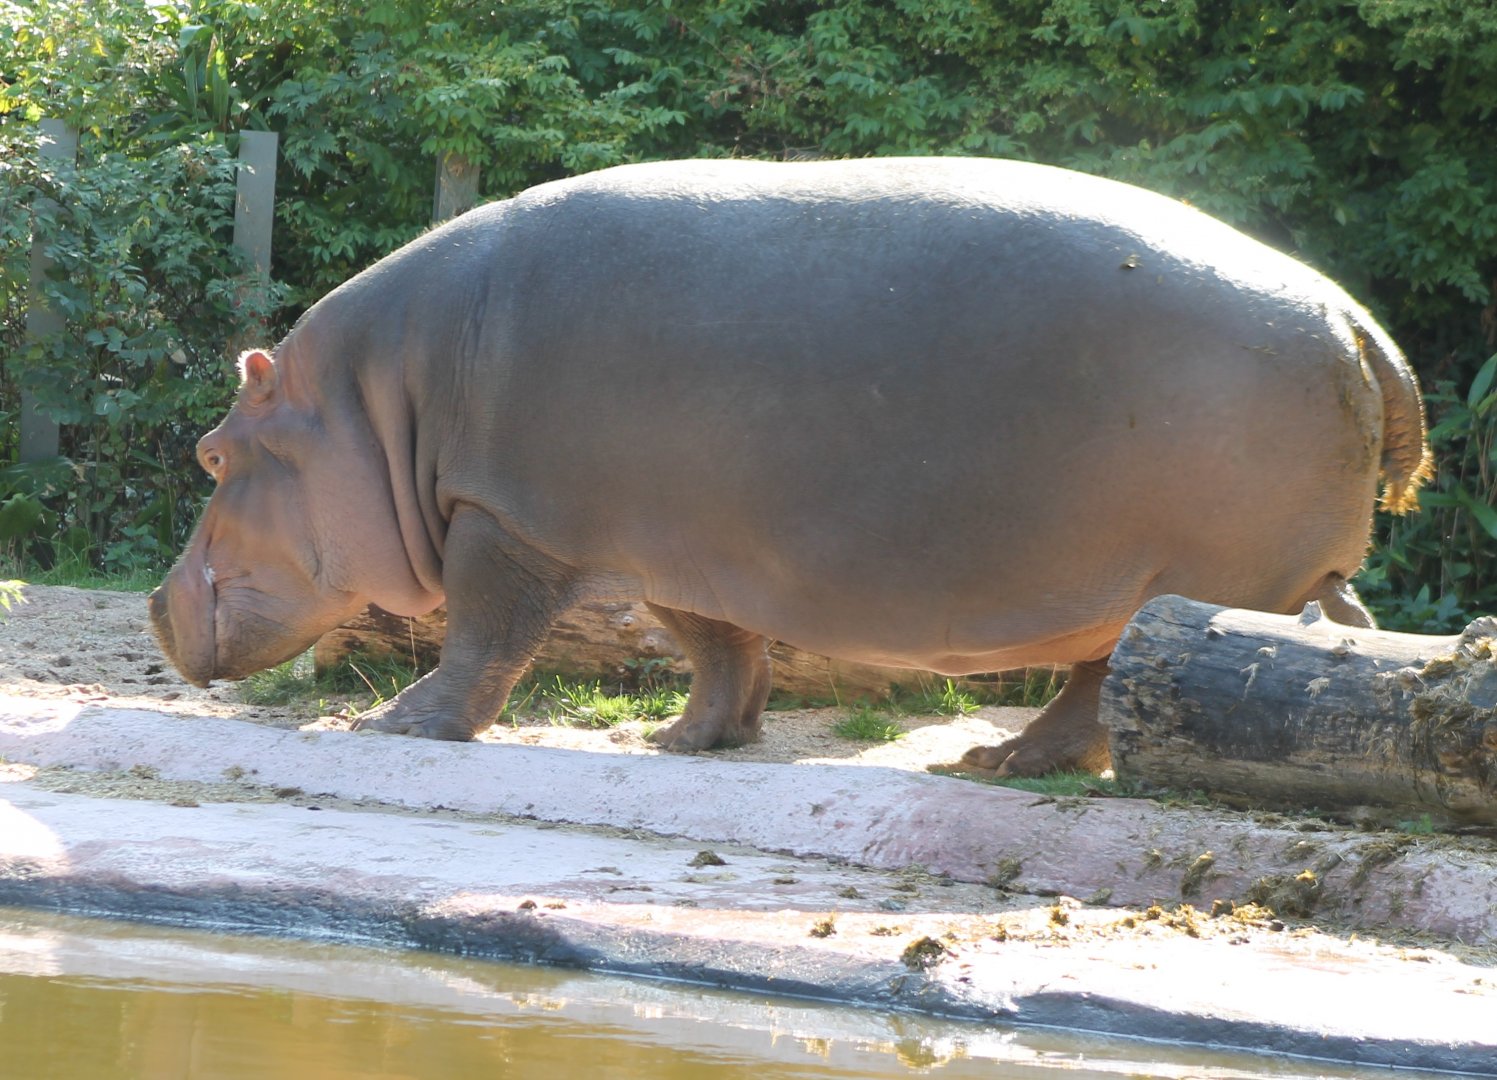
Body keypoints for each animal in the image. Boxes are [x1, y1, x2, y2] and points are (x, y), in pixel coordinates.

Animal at [149, 156, 1432, 776]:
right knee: (1321, 638)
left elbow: (482, 637)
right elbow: (720, 646)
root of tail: (1355, 321)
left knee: (1111, 684)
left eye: (213, 451)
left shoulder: (508, 520)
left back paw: (999, 760)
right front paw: (685, 744)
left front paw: (401, 727)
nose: (157, 605)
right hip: (1249, 579)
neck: (375, 401)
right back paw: (1002, 758)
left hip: (1186, 582)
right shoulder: (677, 547)